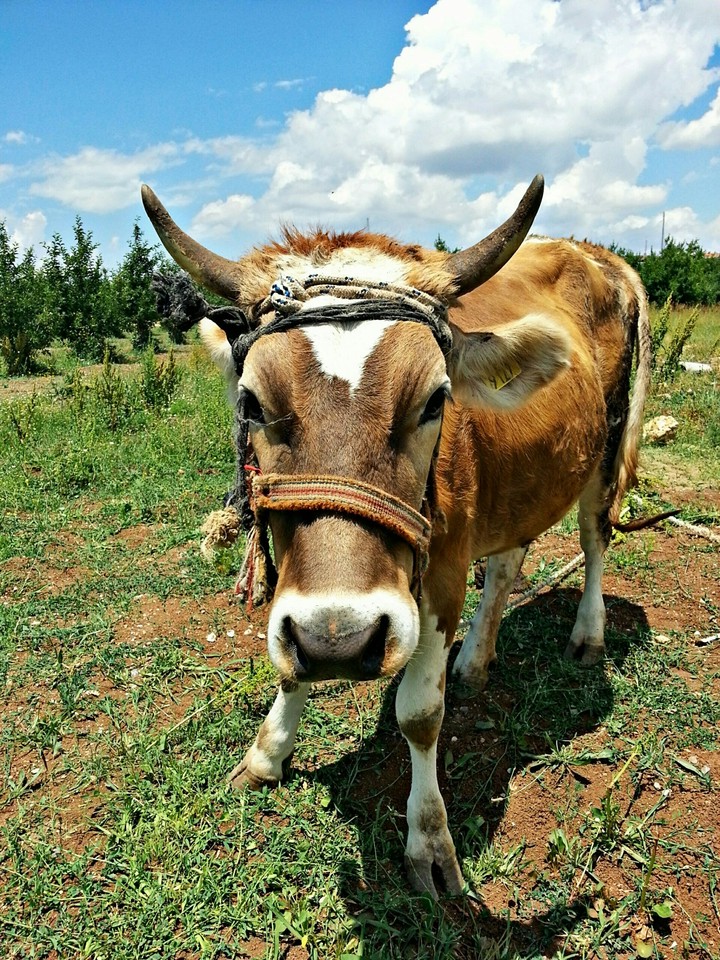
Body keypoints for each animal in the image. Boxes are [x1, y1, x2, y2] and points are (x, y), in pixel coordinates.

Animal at [142, 176, 650, 898]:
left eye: (436, 399)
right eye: (251, 403)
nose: (341, 640)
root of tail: (592, 251)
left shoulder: (440, 576)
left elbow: (418, 715)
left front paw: (429, 840)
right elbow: (289, 663)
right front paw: (268, 754)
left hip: (604, 448)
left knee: (595, 536)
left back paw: (587, 635)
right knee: (509, 562)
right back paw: (476, 660)